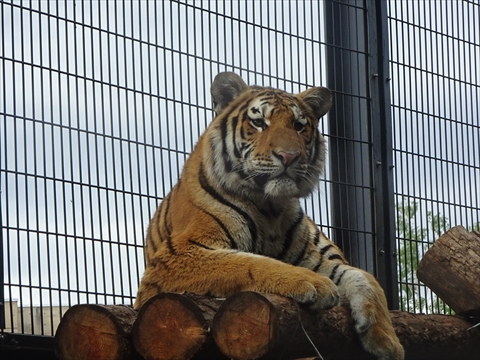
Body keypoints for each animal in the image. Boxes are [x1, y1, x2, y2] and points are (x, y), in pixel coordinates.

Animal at [135, 71, 404, 358]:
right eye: (258, 123)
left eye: (298, 126)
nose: (289, 156)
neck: (270, 208)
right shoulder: (176, 257)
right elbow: (249, 262)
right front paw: (314, 283)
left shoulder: (313, 258)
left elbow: (361, 275)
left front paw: (387, 340)